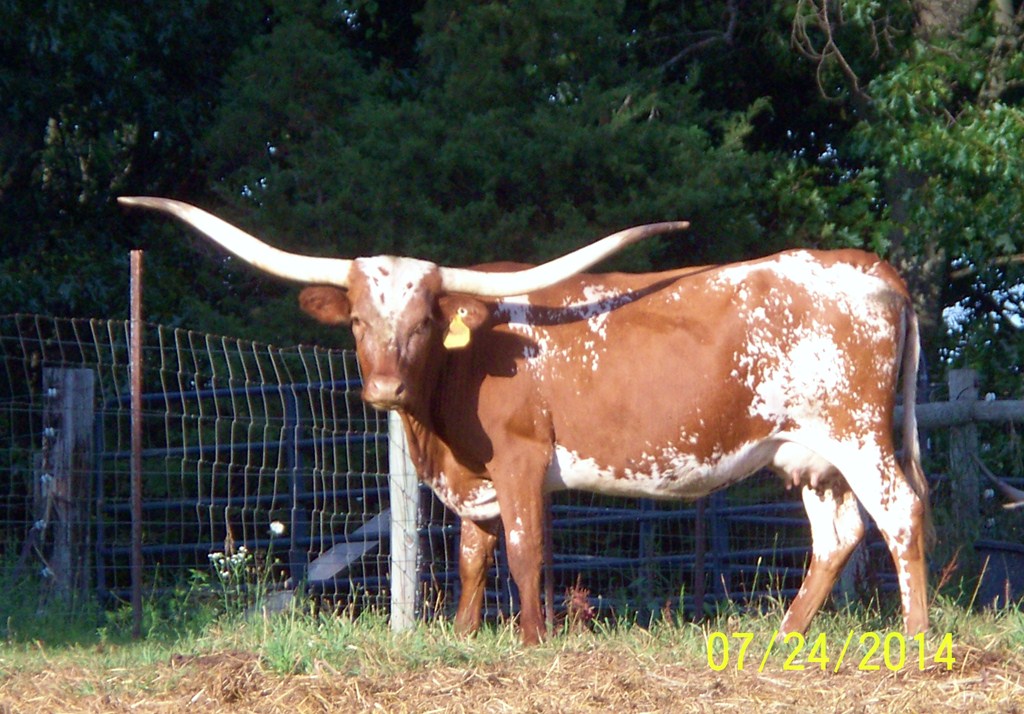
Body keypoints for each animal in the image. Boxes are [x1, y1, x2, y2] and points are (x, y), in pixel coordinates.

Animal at [119, 196, 931, 644]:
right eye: (355, 319)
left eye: (423, 320)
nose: (383, 387)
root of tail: (874, 270)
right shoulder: (474, 479)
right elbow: (472, 559)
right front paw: (463, 637)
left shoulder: (519, 461)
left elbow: (524, 553)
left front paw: (531, 642)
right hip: (813, 453)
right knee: (838, 535)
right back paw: (784, 638)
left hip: (858, 432)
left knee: (899, 513)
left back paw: (916, 639)